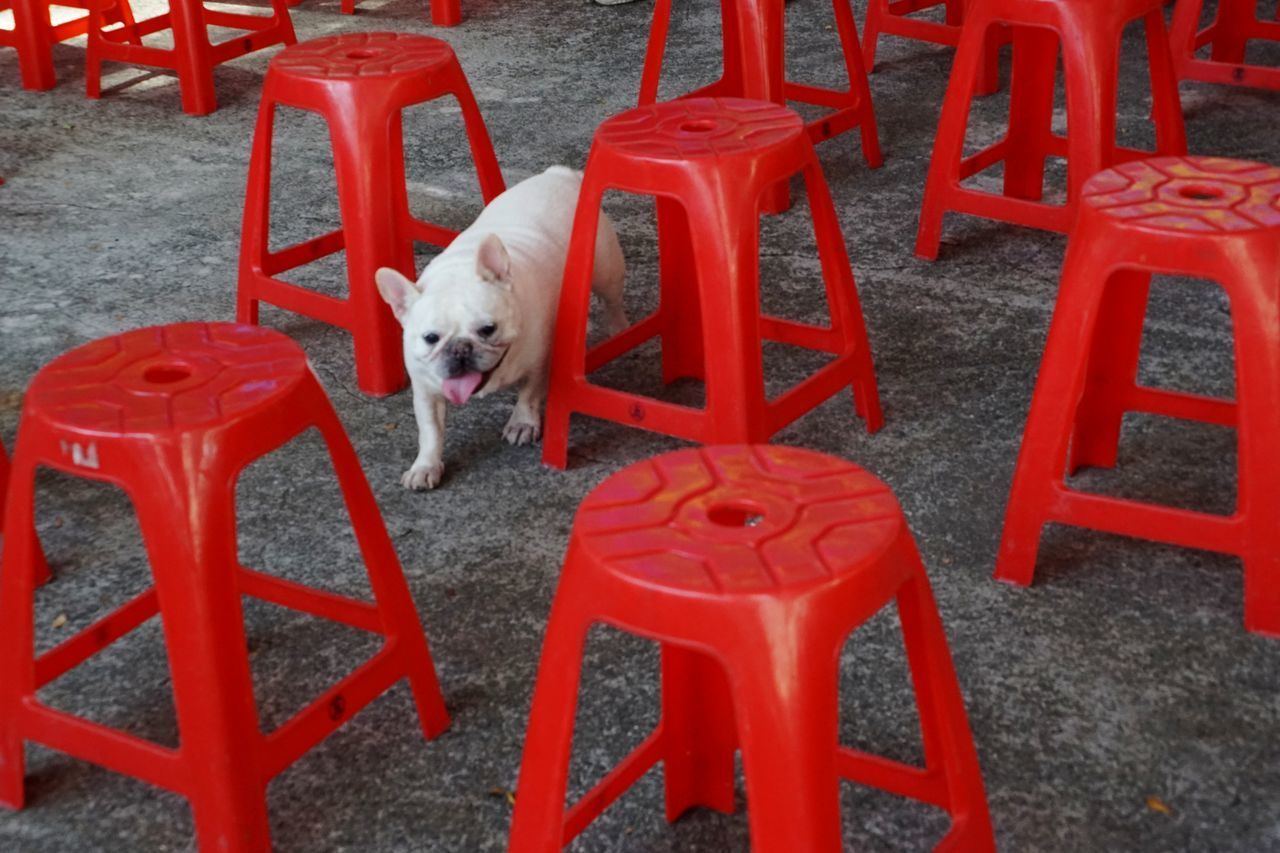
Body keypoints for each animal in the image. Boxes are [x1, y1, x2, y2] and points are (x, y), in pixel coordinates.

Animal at [373, 165, 627, 489]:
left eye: (487, 329)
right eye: (431, 338)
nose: (461, 349)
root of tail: (559, 174)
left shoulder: (540, 360)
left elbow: (529, 393)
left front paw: (522, 423)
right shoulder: (425, 390)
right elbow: (430, 429)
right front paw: (425, 466)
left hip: (606, 270)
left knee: (612, 301)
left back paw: (619, 329)